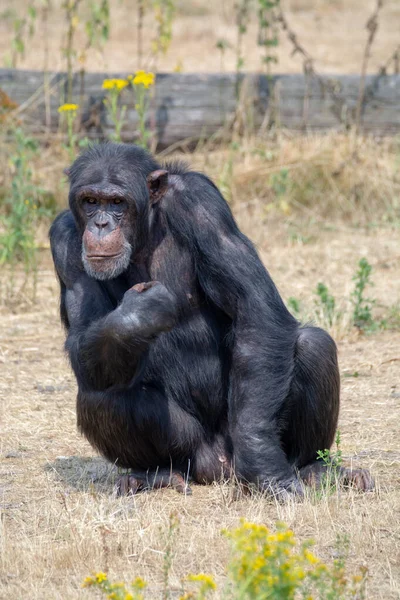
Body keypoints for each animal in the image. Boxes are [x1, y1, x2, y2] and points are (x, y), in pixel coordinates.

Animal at [49, 144, 372, 496]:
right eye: (90, 201)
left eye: (117, 202)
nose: (101, 224)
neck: (146, 231)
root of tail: (220, 466)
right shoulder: (64, 240)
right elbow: (83, 337)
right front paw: (139, 312)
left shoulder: (202, 204)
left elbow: (254, 307)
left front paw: (264, 465)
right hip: (193, 453)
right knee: (101, 394)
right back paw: (156, 474)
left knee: (314, 344)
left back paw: (314, 469)